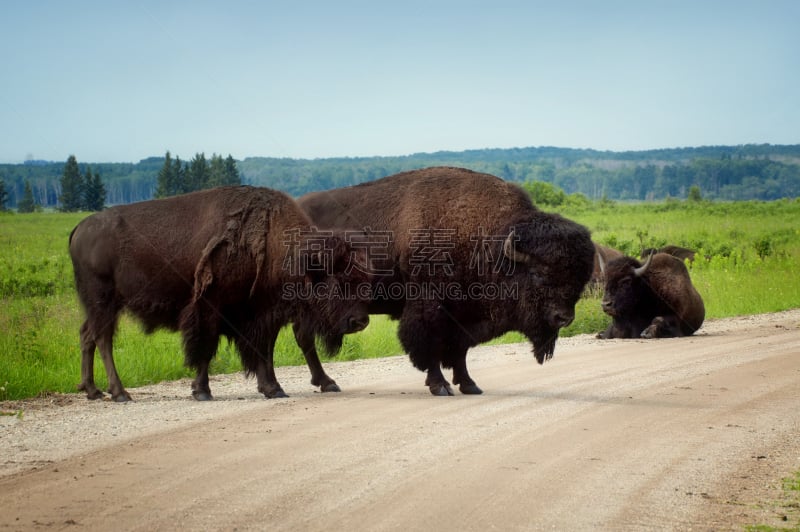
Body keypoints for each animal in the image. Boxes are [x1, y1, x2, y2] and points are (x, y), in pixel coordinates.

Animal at [70, 185, 370, 402]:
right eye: (337, 280)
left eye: (362, 278)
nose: (360, 321)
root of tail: (79, 229)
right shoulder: (210, 310)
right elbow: (206, 349)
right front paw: (202, 391)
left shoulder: (263, 314)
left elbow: (264, 350)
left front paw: (273, 388)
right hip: (103, 300)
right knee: (103, 338)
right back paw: (119, 393)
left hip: (98, 305)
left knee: (87, 334)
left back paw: (92, 390)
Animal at [292, 166, 592, 394]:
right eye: (538, 274)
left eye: (580, 278)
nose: (564, 318)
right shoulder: (430, 309)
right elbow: (430, 346)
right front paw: (440, 386)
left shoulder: (464, 316)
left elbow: (460, 350)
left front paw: (469, 385)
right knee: (305, 338)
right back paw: (328, 383)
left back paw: (325, 383)